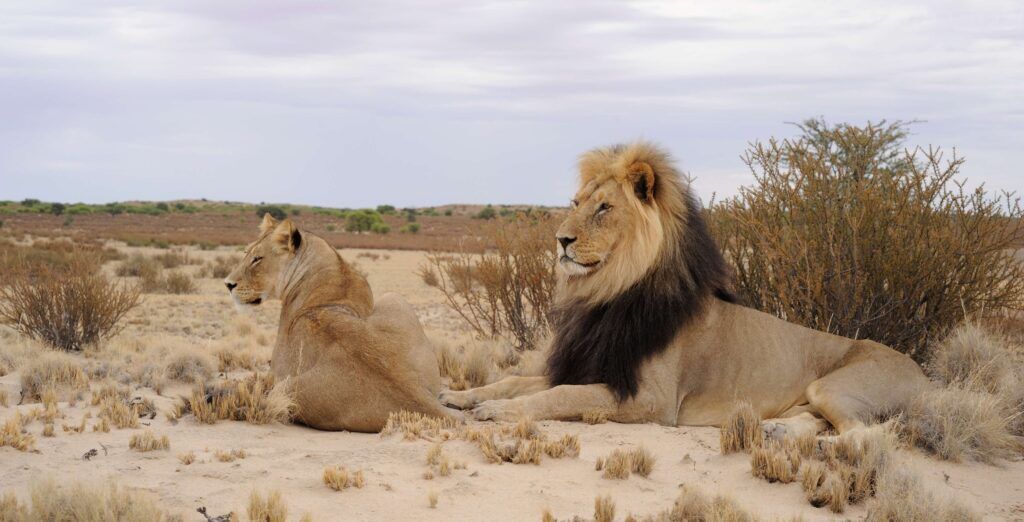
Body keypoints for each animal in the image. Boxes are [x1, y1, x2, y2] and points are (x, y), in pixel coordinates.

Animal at [224, 214, 461, 432]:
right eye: (246, 254)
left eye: (257, 259)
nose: (228, 284)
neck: (329, 262)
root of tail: (420, 398)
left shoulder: (277, 369)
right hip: (397, 300)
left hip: (286, 386)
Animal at [441, 141, 930, 439]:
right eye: (576, 204)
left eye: (604, 208)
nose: (561, 239)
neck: (606, 295)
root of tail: (927, 378)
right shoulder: (590, 366)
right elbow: (514, 380)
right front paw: (459, 396)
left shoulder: (652, 401)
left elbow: (559, 396)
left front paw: (498, 413)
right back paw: (777, 431)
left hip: (832, 388)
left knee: (864, 434)